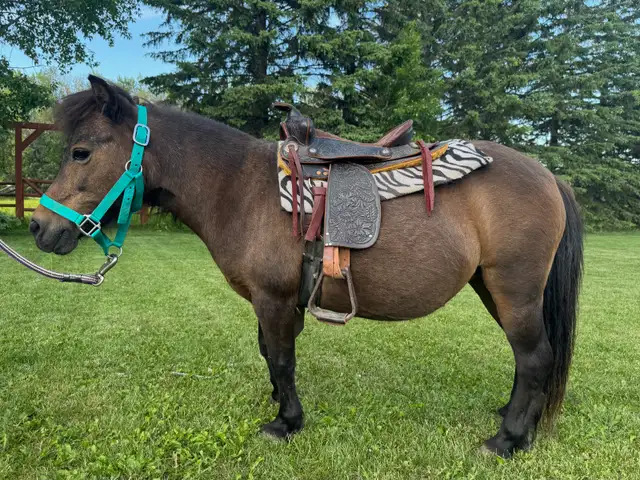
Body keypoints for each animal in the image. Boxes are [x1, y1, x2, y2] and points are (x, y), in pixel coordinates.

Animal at [29, 76, 583, 458]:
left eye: (80, 152)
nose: (38, 226)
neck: (237, 188)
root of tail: (550, 176)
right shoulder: (271, 301)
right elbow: (268, 354)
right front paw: (277, 404)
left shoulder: (274, 299)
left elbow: (281, 357)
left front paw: (286, 422)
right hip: (493, 288)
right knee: (530, 358)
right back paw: (518, 422)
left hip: (514, 289)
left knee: (535, 357)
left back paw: (508, 439)